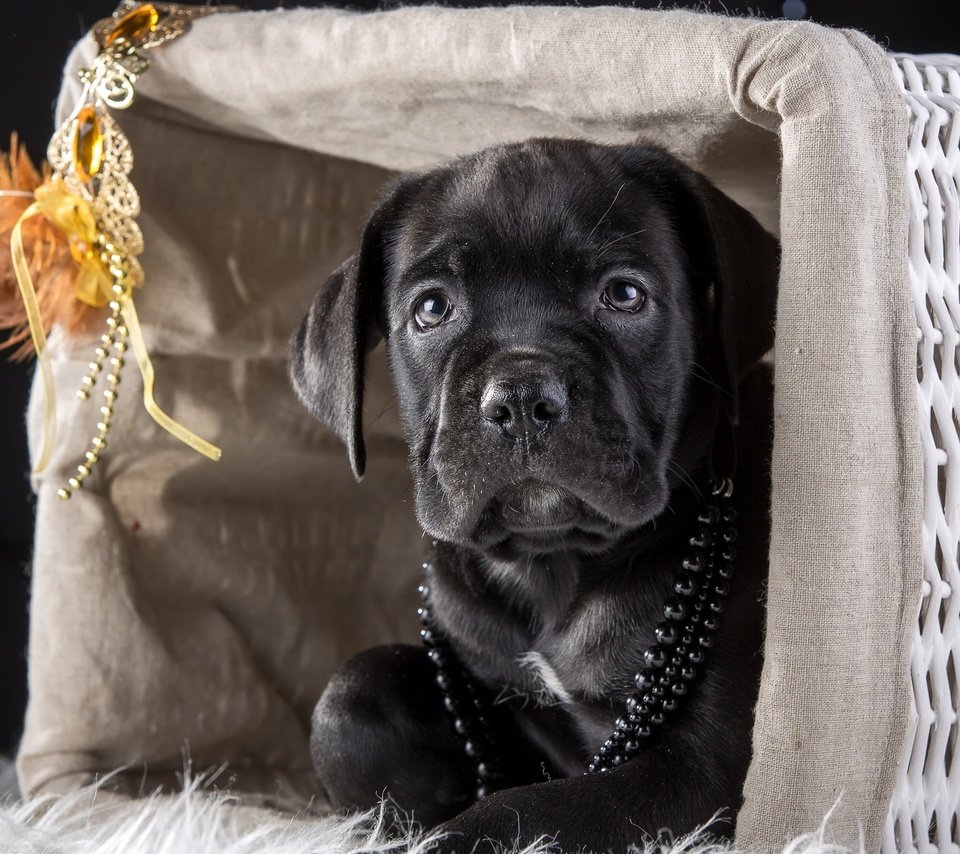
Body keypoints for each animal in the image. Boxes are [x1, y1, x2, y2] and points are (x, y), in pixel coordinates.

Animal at [288, 137, 776, 852]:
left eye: (624, 294)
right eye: (431, 309)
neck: (552, 564)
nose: (520, 397)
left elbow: (527, 814)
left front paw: (447, 831)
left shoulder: (697, 771)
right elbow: (347, 700)